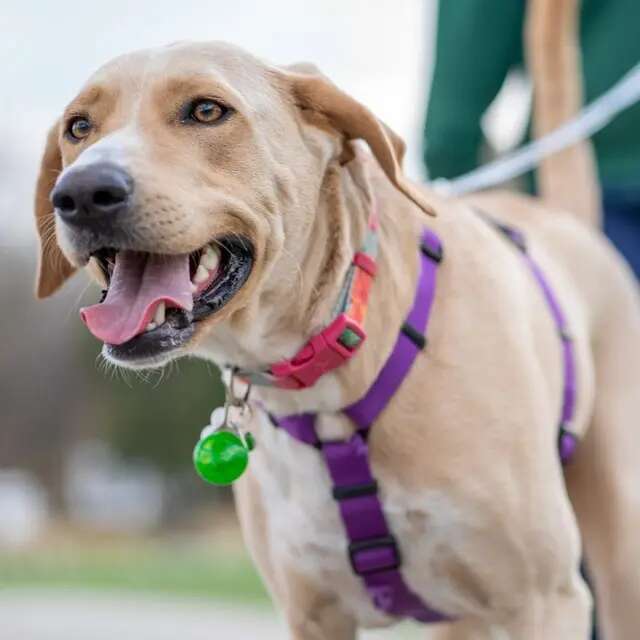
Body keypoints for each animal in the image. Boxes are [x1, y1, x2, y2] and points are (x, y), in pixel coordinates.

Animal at [35, 1, 640, 640]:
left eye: (206, 110)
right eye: (79, 127)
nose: (80, 192)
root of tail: (567, 223)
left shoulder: (545, 600)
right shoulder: (312, 614)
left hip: (618, 556)